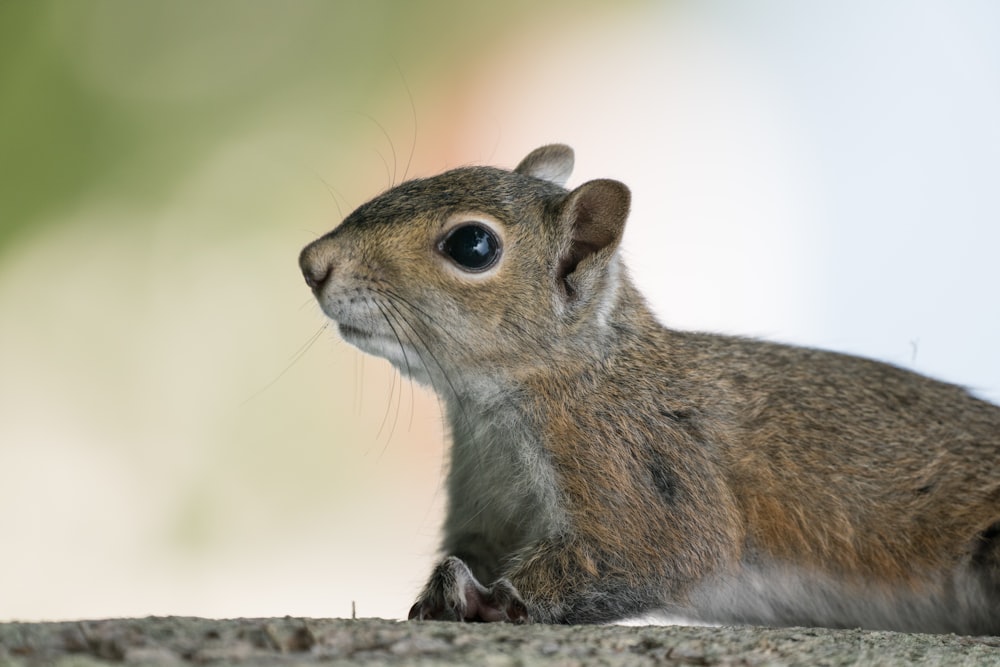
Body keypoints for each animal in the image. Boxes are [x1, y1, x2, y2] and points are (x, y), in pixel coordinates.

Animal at [296, 144, 1000, 636]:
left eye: (472, 245)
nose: (311, 263)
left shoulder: (632, 459)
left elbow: (655, 551)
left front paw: (488, 601)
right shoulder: (486, 505)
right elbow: (469, 552)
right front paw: (442, 589)